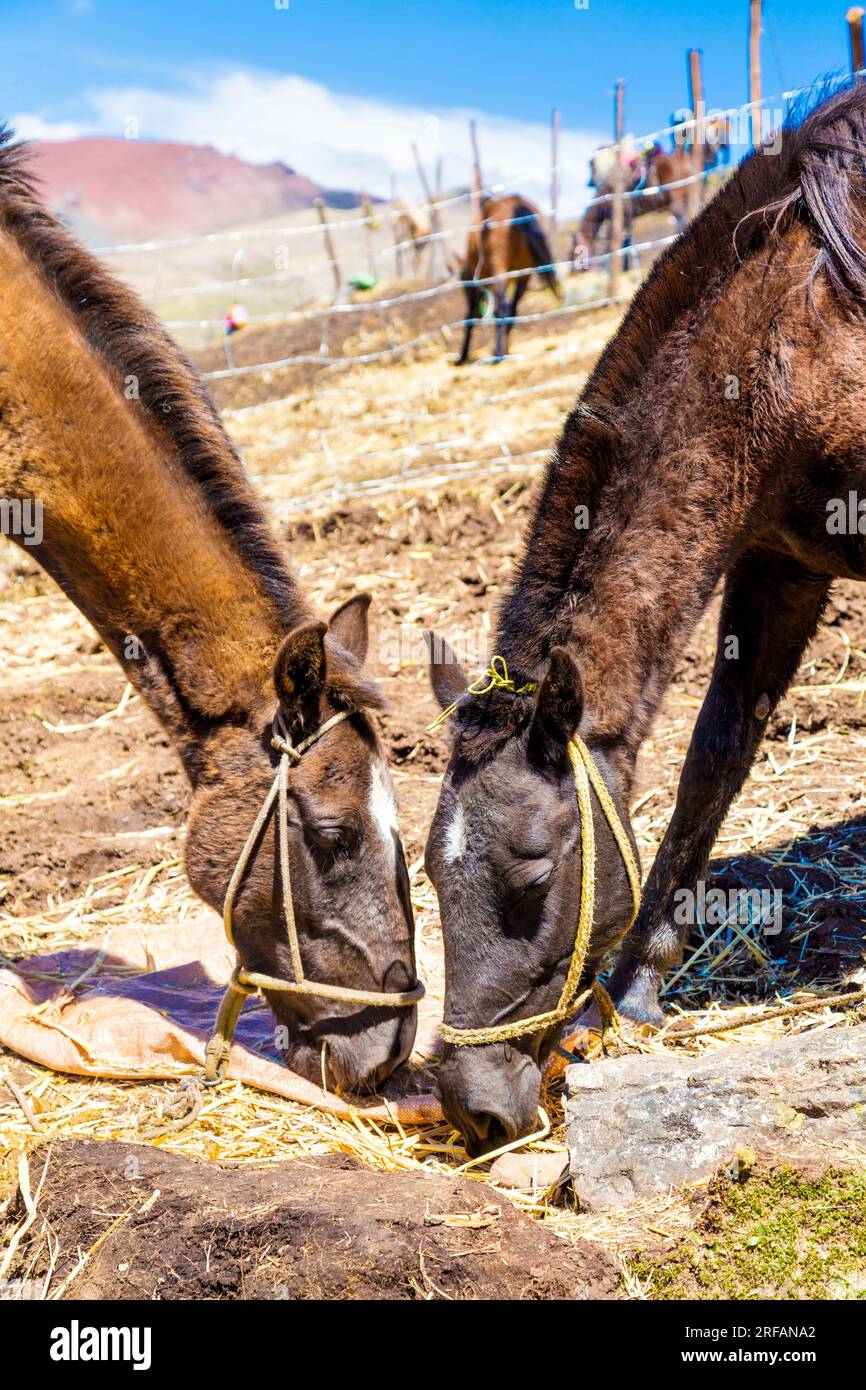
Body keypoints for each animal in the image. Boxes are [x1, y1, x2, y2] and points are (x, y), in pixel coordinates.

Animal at [458, 191, 558, 364]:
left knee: (503, 305)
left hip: (499, 265)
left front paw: (462, 356)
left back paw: (498, 353)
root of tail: (518, 204)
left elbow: (469, 315)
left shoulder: (475, 279)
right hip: (524, 271)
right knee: (513, 307)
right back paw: (502, 350)